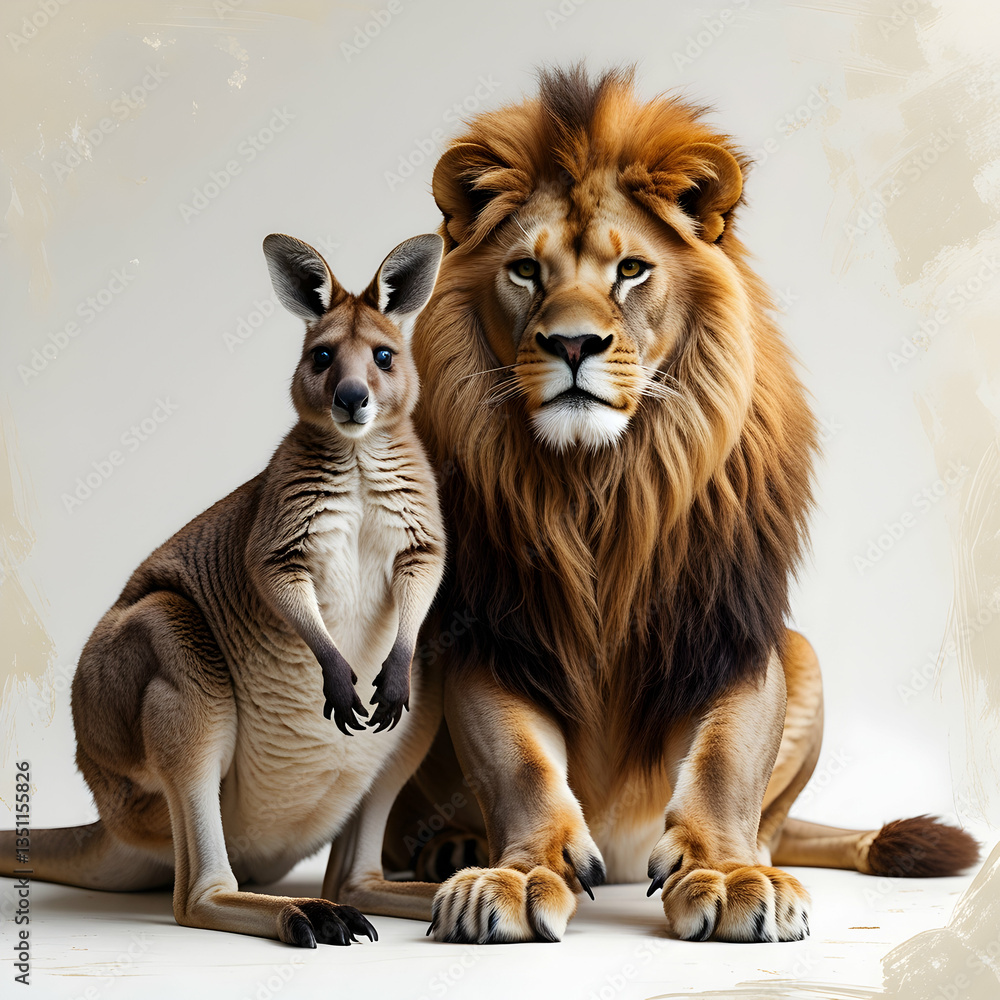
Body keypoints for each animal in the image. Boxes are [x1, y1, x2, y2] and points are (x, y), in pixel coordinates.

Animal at [347, 65, 980, 944]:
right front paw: (519, 874)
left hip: (804, 655)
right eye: (527, 271)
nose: (573, 343)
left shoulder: (726, 630)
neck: (599, 486)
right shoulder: (491, 633)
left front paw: (732, 874)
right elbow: (519, 764)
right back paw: (452, 848)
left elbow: (723, 762)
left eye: (631, 271)